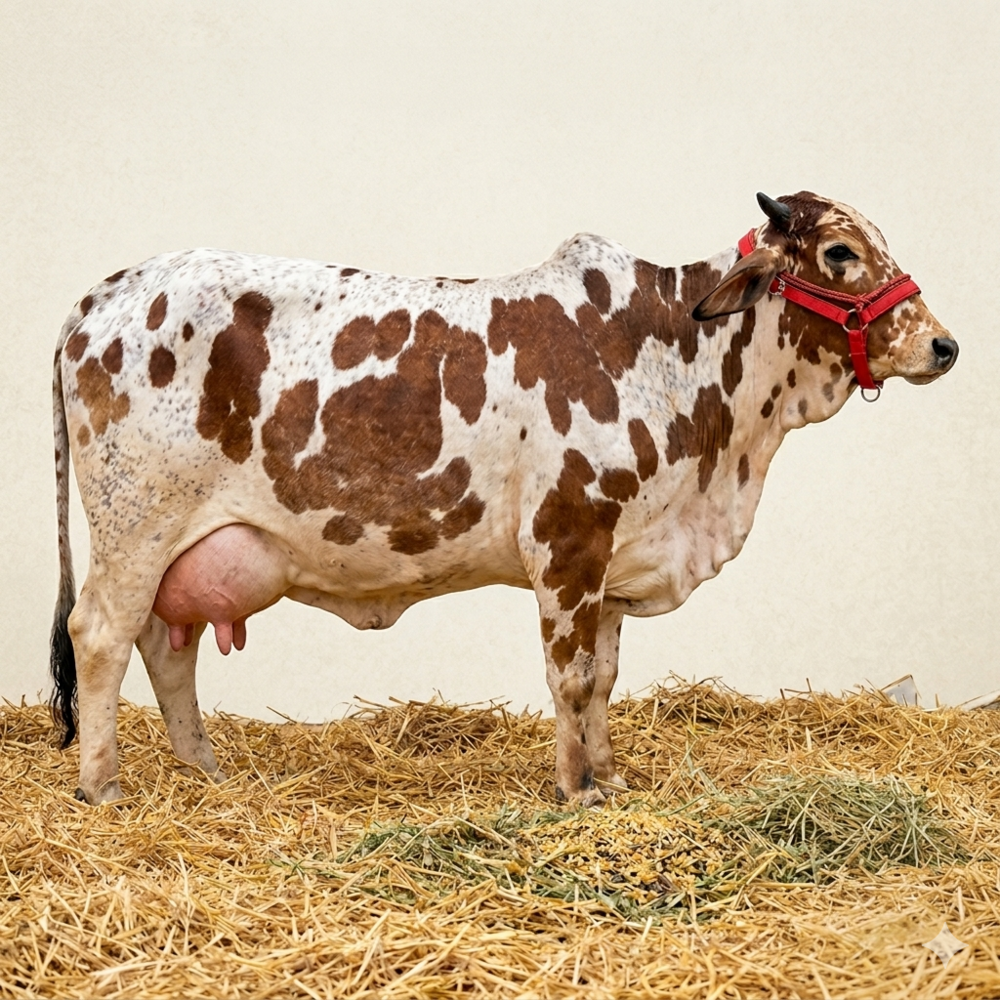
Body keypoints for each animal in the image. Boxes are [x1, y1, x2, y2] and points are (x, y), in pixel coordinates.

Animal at [50, 191, 957, 806]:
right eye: (839, 252)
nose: (943, 345)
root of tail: (98, 298)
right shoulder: (568, 537)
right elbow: (570, 676)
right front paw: (576, 788)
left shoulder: (613, 565)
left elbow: (604, 677)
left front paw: (608, 776)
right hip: (135, 524)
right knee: (101, 635)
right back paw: (104, 785)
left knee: (166, 646)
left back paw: (204, 767)